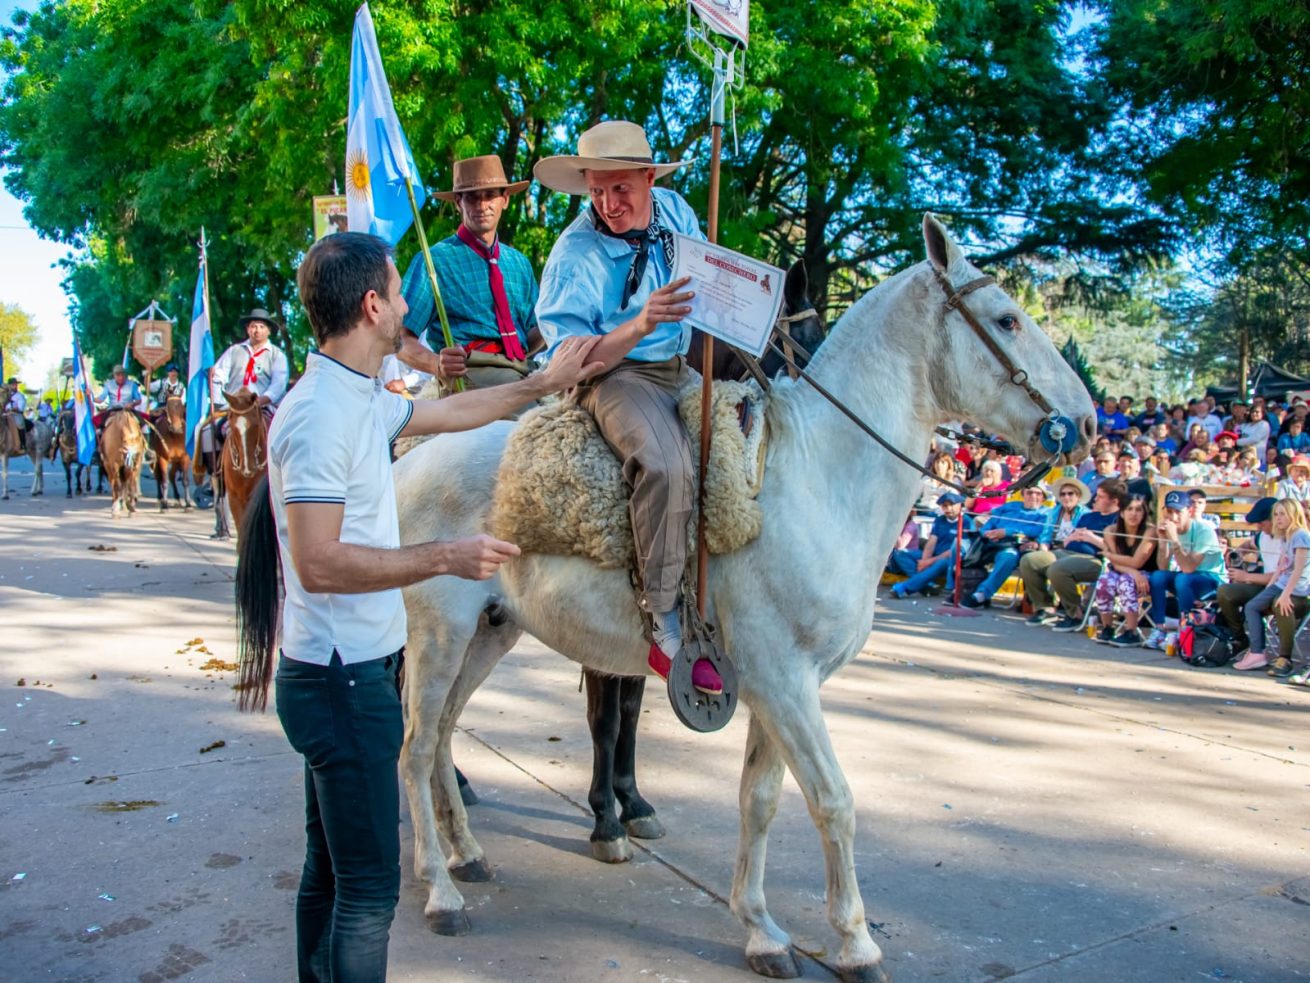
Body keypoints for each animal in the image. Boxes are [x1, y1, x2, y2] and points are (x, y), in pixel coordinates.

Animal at [390, 217, 1095, 983]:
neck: (818, 479)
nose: (1086, 423)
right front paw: (856, 943)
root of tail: (409, 456)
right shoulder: (784, 683)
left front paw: (761, 929)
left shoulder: (774, 687)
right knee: (415, 746)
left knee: (441, 737)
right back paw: (441, 889)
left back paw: (467, 852)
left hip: (491, 630)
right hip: (438, 632)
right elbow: (833, 800)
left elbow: (760, 800)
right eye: (1007, 319)